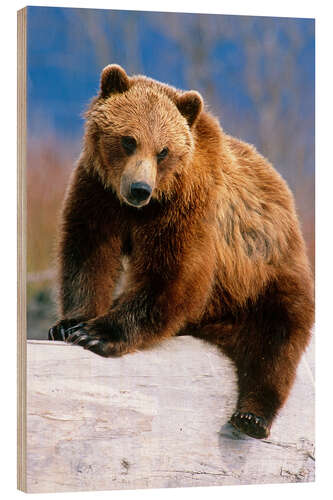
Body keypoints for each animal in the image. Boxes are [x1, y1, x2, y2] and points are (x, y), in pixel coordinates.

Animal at [48, 65, 314, 438]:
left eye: (163, 151)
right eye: (128, 140)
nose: (139, 189)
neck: (141, 210)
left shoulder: (187, 207)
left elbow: (174, 276)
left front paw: (96, 333)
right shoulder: (98, 192)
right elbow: (88, 253)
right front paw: (70, 323)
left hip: (266, 274)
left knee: (276, 342)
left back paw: (251, 417)